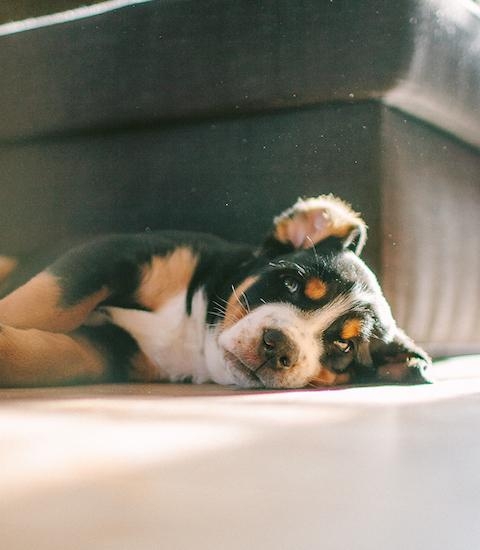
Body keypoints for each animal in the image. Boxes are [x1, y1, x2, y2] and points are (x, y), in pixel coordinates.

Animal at [0, 196, 432, 390]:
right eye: (290, 283)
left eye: (344, 346)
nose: (278, 346)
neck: (190, 334)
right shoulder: (113, 255)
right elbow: (45, 302)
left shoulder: (112, 350)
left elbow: (43, 355)